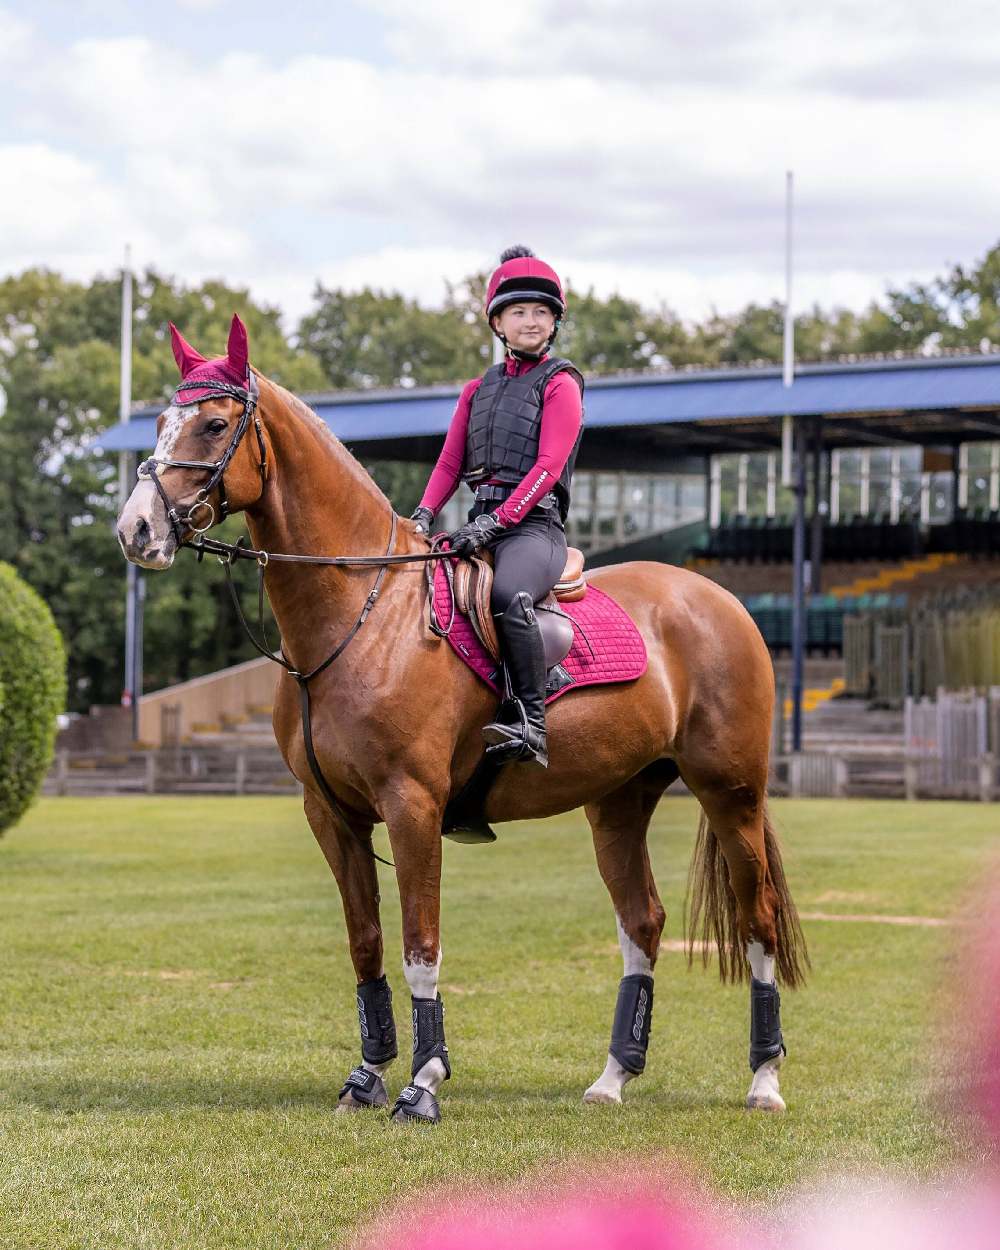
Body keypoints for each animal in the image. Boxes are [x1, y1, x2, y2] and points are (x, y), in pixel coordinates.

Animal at [117, 320, 805, 1125]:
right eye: (160, 424)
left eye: (215, 424)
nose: (136, 530)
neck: (363, 612)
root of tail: (717, 598)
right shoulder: (331, 814)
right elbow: (366, 943)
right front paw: (367, 1075)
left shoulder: (411, 805)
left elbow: (421, 944)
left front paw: (423, 1082)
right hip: (619, 802)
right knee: (643, 924)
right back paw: (612, 1078)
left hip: (732, 795)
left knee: (758, 919)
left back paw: (764, 1080)